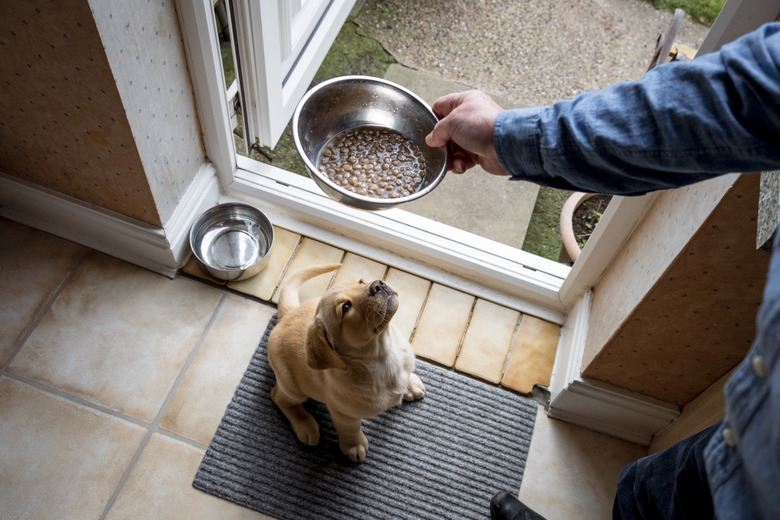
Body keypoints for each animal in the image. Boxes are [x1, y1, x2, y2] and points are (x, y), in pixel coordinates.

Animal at [268, 264, 426, 464]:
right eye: (345, 307)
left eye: (361, 282)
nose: (378, 285)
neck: (383, 353)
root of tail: (287, 314)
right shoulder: (343, 413)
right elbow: (350, 429)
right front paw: (354, 446)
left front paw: (410, 385)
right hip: (292, 387)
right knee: (278, 396)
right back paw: (305, 425)